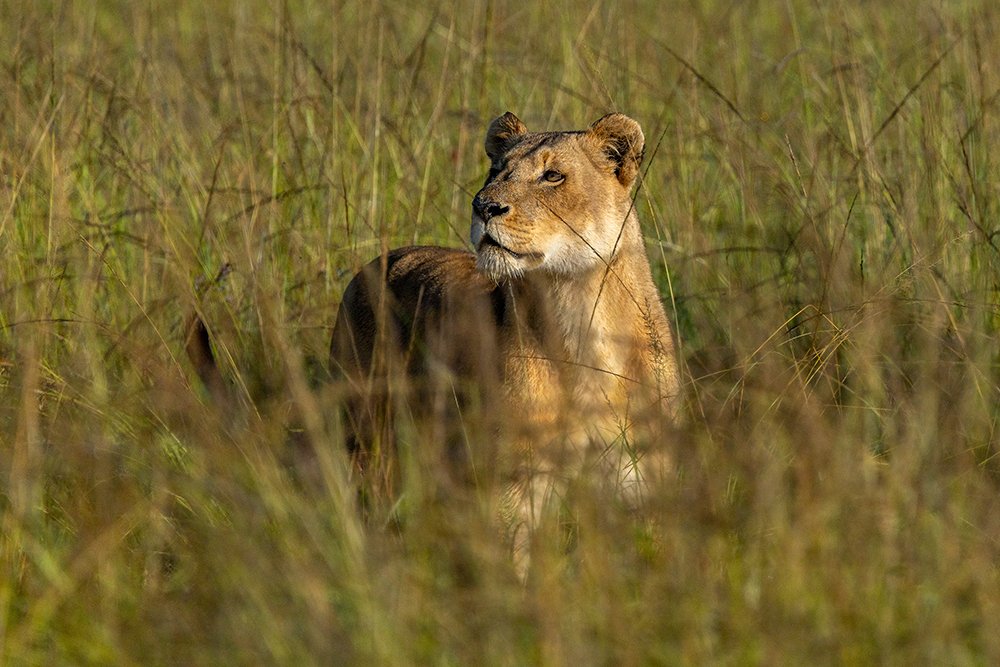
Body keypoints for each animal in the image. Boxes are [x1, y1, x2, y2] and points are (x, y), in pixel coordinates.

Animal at [329, 112, 680, 572]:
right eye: (496, 170)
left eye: (552, 176)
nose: (484, 206)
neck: (579, 312)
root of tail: (377, 261)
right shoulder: (516, 482)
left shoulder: (642, 475)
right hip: (365, 436)